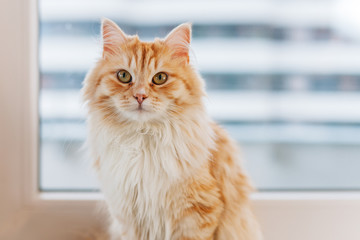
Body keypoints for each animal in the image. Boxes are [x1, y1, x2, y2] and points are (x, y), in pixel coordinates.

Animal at [81, 17, 262, 240]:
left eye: (160, 78)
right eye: (123, 76)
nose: (140, 96)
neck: (143, 140)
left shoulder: (198, 214)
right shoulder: (127, 217)